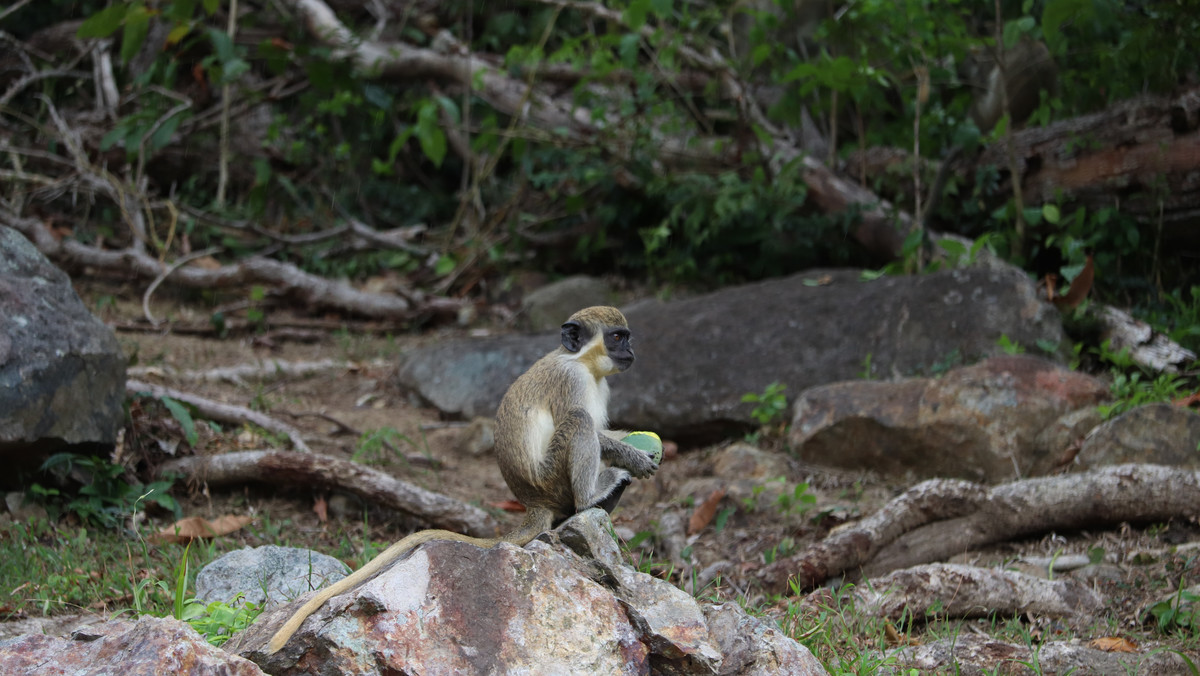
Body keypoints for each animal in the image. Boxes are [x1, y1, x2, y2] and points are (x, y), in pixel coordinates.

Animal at [265, 307, 657, 657]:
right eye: (617, 337)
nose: (632, 352)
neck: (582, 364)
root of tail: (534, 501)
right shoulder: (570, 380)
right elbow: (591, 427)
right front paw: (636, 458)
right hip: (551, 479)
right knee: (578, 422)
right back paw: (592, 496)